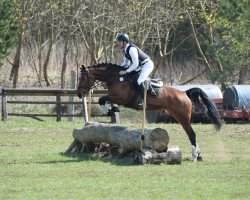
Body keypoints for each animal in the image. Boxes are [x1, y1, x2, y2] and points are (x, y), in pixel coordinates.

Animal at [77, 63, 222, 162]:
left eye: (82, 79)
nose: (79, 94)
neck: (117, 78)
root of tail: (184, 93)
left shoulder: (121, 98)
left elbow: (103, 99)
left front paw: (108, 109)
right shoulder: (115, 97)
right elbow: (104, 100)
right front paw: (110, 109)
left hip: (182, 117)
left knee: (192, 134)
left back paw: (194, 157)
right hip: (177, 116)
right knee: (191, 134)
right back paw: (199, 155)